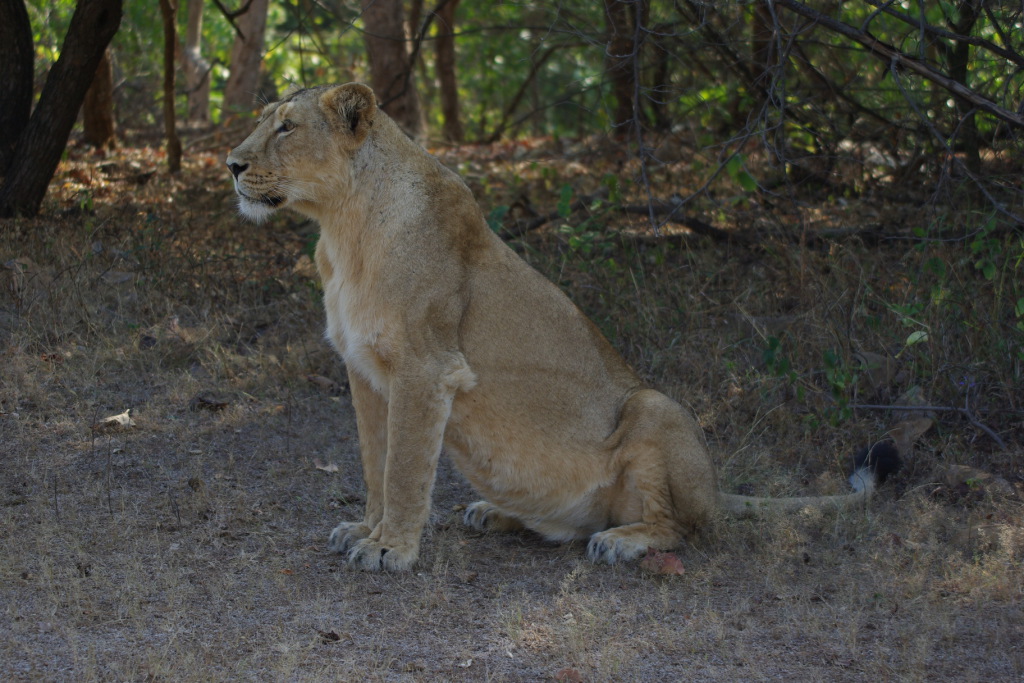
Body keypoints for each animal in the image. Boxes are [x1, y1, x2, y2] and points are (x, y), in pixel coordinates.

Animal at [226, 83, 899, 571]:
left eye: (286, 127)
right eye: (266, 121)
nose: (231, 164)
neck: (343, 230)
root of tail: (716, 487)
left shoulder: (427, 369)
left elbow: (406, 467)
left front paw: (392, 547)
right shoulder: (363, 371)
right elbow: (374, 462)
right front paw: (367, 528)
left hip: (655, 407)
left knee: (683, 528)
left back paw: (622, 542)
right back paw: (494, 513)